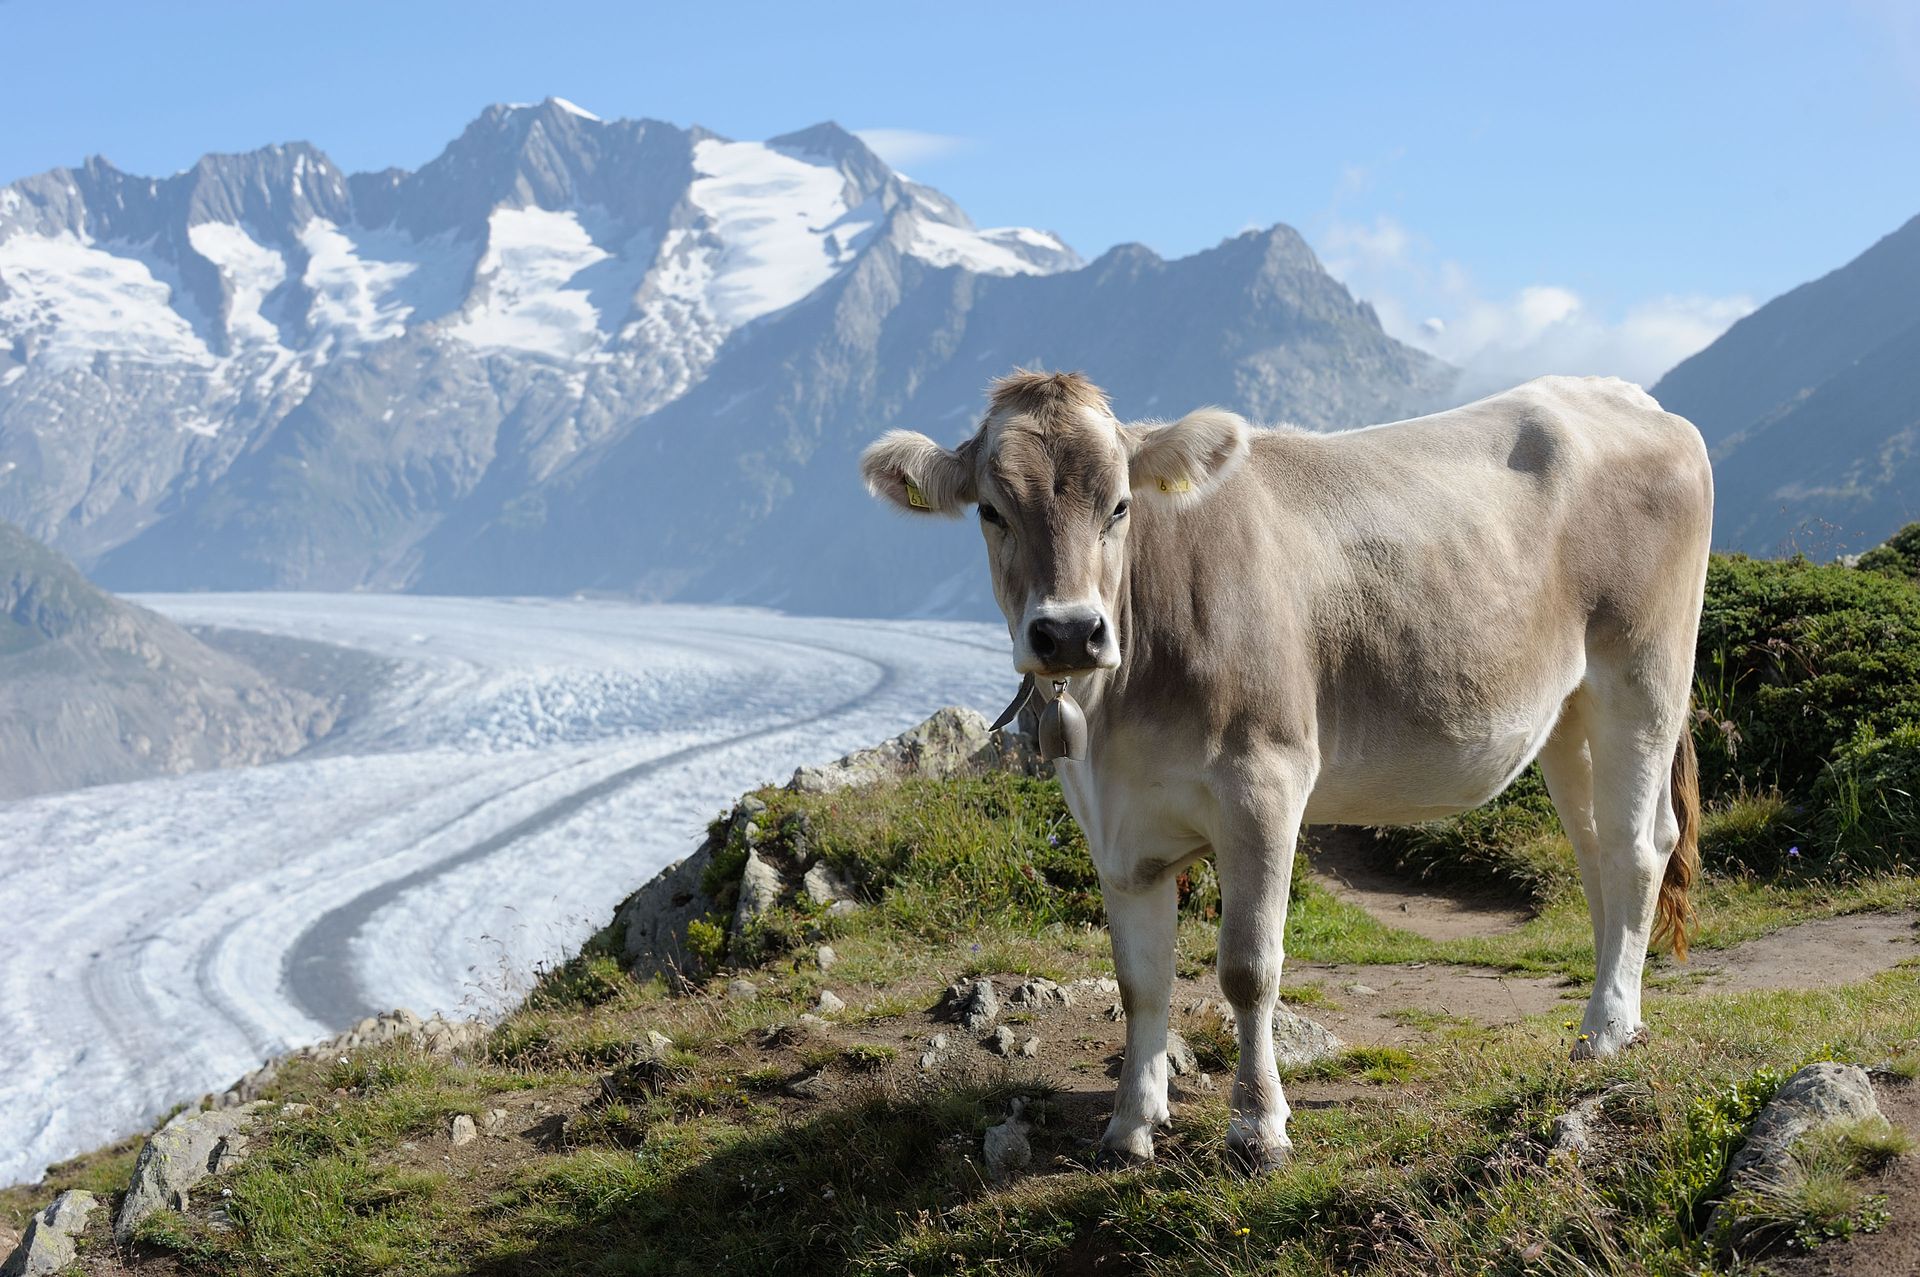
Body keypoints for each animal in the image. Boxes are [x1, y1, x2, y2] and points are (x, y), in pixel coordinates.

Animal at [860, 371, 1712, 1170]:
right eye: (992, 511)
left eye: (1120, 506)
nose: (1069, 631)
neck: (1119, 711)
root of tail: (1628, 398)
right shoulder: (1115, 825)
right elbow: (1141, 980)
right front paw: (1130, 1125)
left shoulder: (1263, 782)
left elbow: (1247, 967)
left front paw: (1257, 1126)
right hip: (1566, 710)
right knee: (1597, 850)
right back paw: (1614, 1011)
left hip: (1641, 671)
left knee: (1638, 848)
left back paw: (1605, 1029)